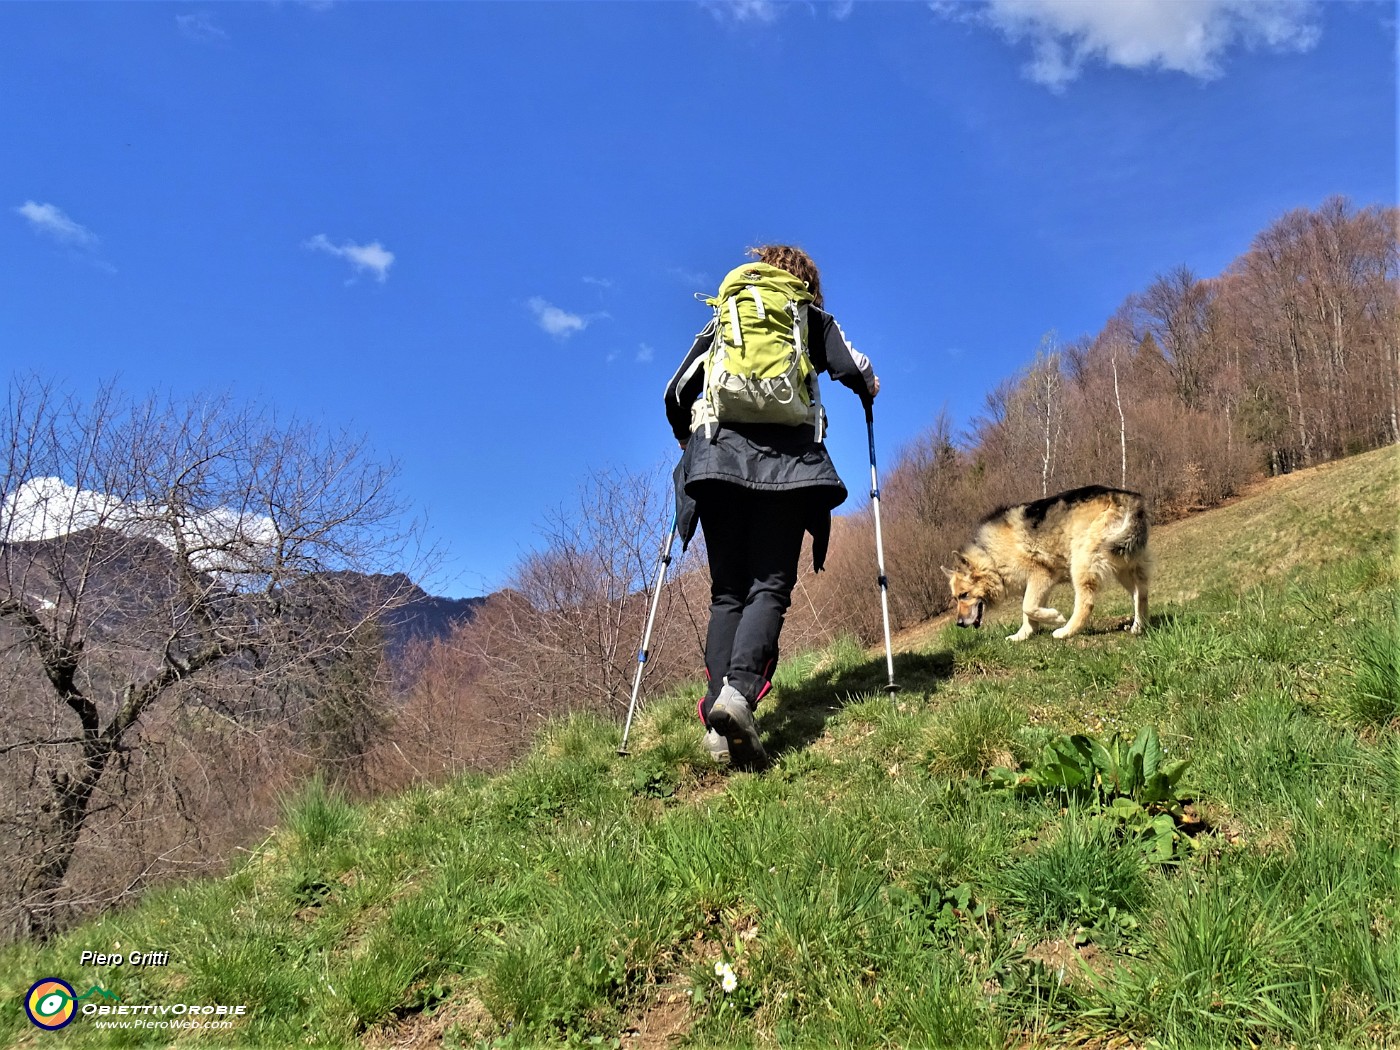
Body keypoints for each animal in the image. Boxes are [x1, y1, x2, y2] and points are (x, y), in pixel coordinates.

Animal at [946, 484, 1153, 641]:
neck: (990, 557)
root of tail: (1126, 497)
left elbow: (1027, 607)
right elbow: (1029, 615)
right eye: (956, 598)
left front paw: (1055, 618)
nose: (959, 624)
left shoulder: (1041, 576)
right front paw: (1023, 636)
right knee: (1140, 595)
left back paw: (1066, 631)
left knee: (1086, 603)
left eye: (964, 595)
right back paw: (1138, 626)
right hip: (1124, 566)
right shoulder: (1036, 585)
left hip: (1082, 564)